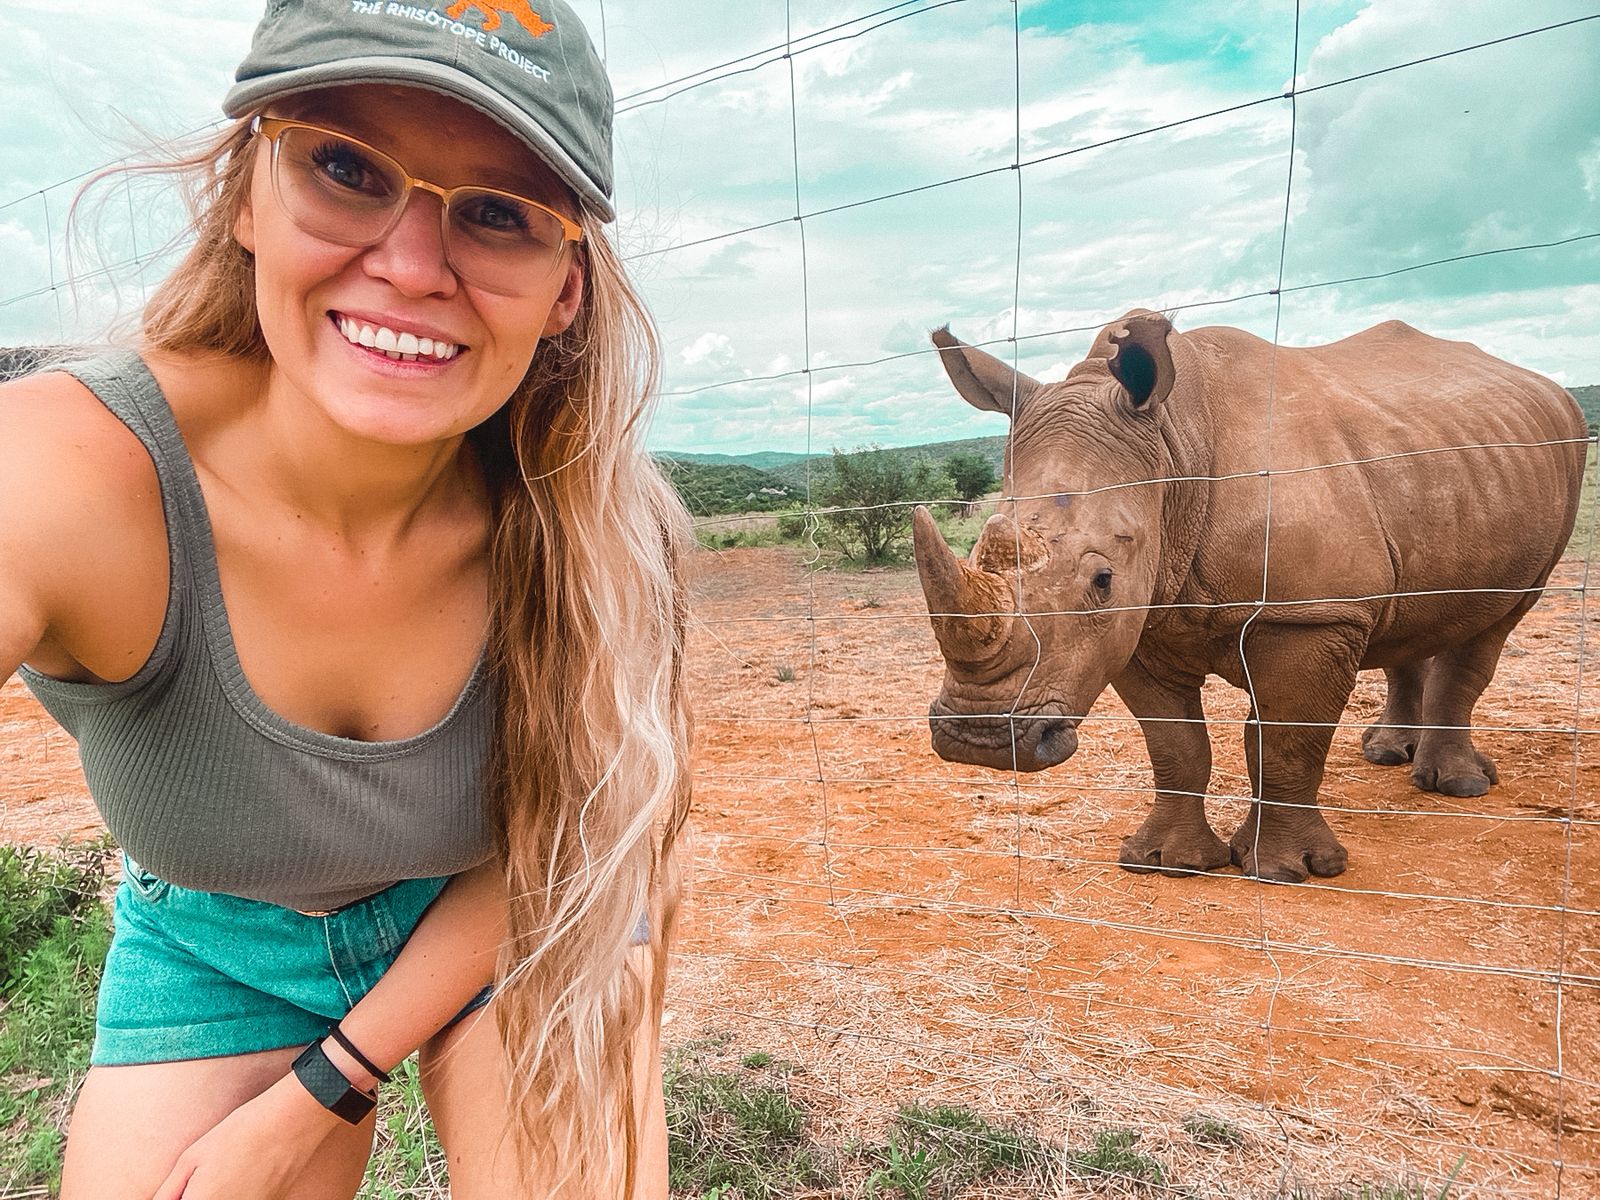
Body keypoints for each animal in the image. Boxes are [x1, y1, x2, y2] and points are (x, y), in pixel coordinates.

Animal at [913, 311, 1587, 882]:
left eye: (1101, 581)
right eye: (978, 553)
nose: (978, 739)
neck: (1173, 446)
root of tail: (1552, 391)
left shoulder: (1310, 615)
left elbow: (1287, 741)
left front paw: (1291, 871)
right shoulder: (1140, 617)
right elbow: (1176, 744)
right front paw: (1166, 862)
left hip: (1558, 466)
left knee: (1497, 620)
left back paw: (1458, 788)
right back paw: (1385, 754)